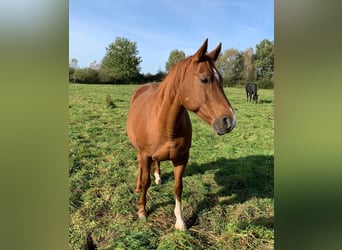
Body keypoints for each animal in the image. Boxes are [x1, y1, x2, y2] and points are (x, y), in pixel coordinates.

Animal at [127, 39, 236, 230]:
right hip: (140, 152)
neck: (164, 123)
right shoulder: (146, 155)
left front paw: (180, 221)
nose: (229, 121)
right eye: (204, 79)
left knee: (157, 163)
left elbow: (178, 187)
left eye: (221, 79)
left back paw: (158, 177)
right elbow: (146, 181)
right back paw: (138, 187)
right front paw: (142, 211)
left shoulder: (181, 158)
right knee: (140, 167)